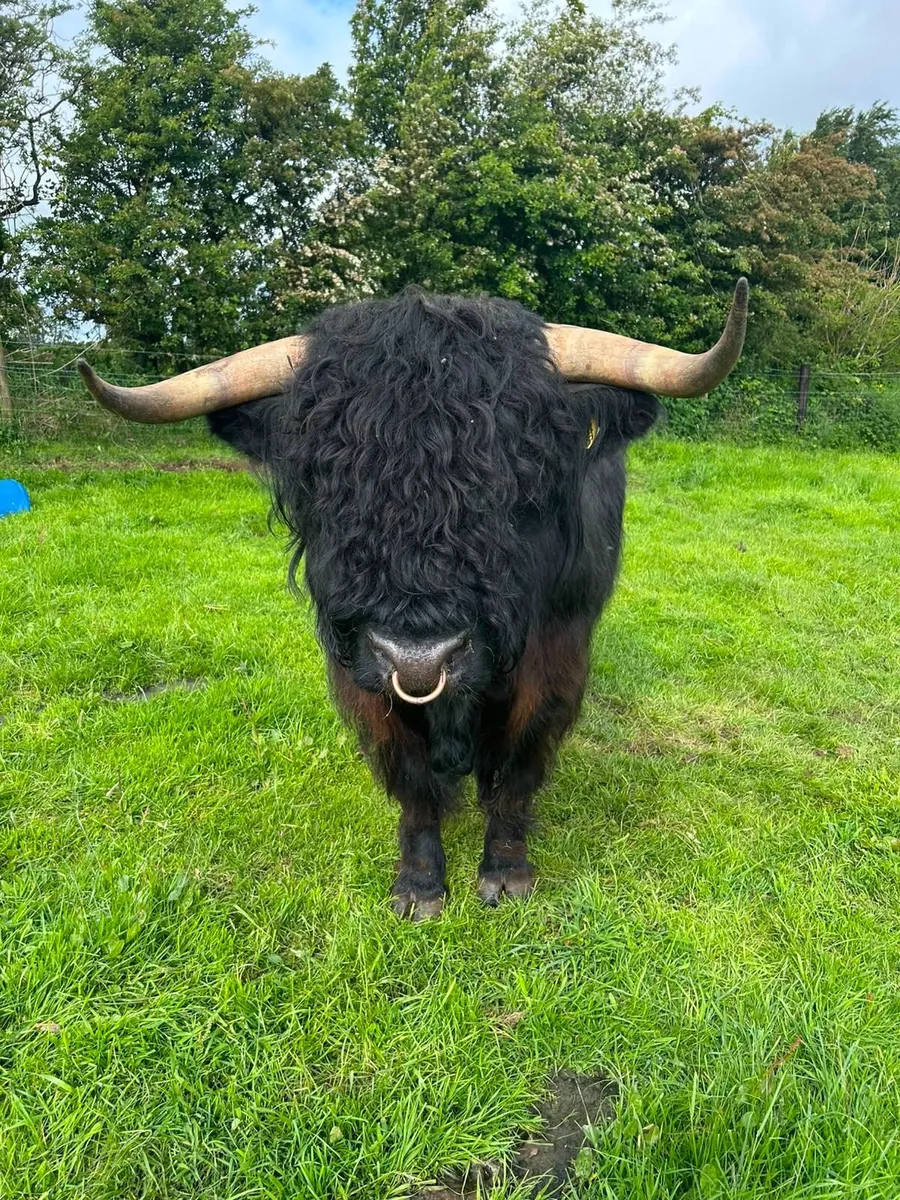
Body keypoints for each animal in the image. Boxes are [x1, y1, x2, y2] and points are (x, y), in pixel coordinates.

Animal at [78, 282, 748, 919]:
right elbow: (410, 777)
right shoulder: (360, 670)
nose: (420, 659)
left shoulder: (557, 655)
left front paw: (506, 874)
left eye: (518, 477)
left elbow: (521, 762)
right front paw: (421, 886)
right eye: (328, 477)